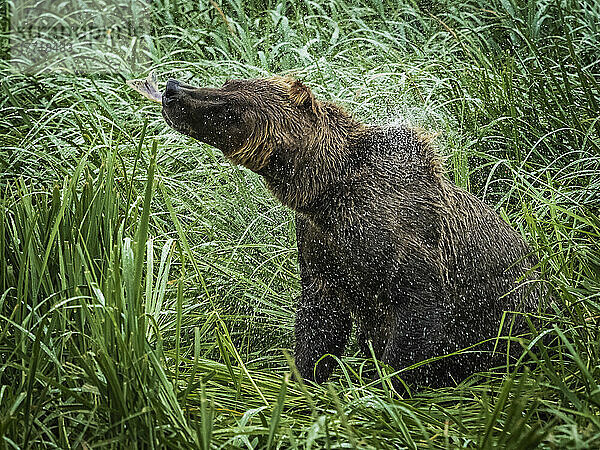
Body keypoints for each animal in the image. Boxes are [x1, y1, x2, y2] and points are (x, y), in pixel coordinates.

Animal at [161, 74, 540, 386]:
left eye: (231, 106)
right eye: (228, 83)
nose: (171, 89)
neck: (325, 192)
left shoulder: (409, 248)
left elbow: (415, 323)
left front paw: (384, 388)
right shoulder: (322, 248)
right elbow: (320, 324)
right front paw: (303, 381)